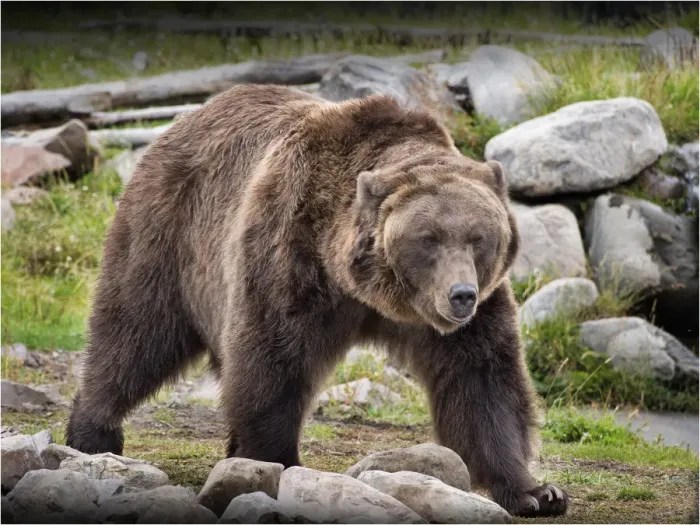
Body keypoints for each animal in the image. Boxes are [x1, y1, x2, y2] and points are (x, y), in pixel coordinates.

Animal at [66, 84, 569, 517]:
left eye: (479, 237)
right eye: (428, 238)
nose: (460, 294)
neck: (371, 292)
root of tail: (187, 118)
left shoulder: (469, 314)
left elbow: (482, 382)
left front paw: (536, 492)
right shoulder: (292, 252)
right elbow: (271, 360)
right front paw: (276, 462)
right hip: (170, 233)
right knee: (135, 331)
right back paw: (93, 432)